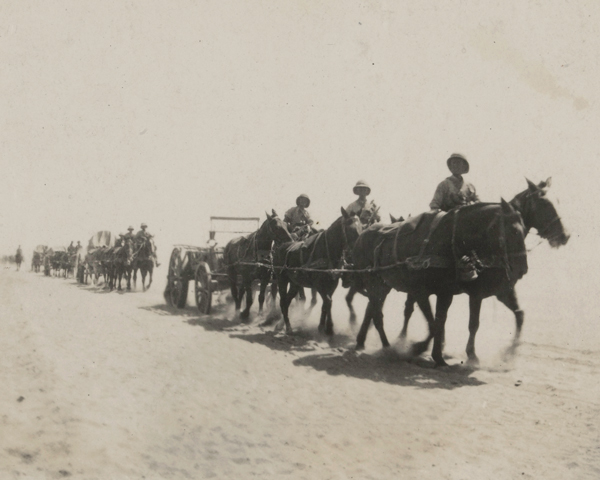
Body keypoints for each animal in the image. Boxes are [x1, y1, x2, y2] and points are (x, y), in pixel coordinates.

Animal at [274, 206, 366, 334]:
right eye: (350, 228)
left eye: (362, 227)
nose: (359, 247)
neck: (326, 250)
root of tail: (280, 247)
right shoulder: (318, 285)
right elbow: (328, 302)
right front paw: (329, 328)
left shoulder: (332, 284)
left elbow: (325, 303)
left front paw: (321, 326)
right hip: (282, 280)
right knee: (283, 301)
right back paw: (288, 327)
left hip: (295, 284)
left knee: (287, 301)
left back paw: (282, 324)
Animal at [352, 178, 568, 366]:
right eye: (546, 204)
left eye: (523, 230)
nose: (565, 236)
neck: (452, 238)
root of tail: (363, 234)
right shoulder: (459, 293)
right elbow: (456, 324)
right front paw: (427, 349)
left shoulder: (493, 291)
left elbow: (518, 314)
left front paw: (508, 353)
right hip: (376, 284)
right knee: (378, 313)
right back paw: (387, 347)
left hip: (382, 286)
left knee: (373, 310)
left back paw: (363, 341)